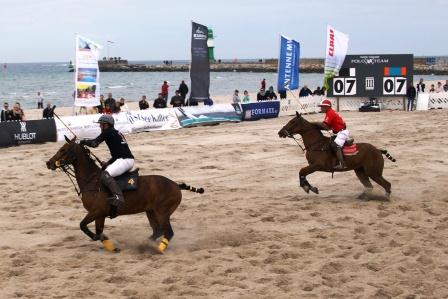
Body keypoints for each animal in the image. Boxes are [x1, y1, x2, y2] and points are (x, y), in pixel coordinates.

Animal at [45, 137, 203, 254]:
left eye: (63, 149)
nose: (48, 163)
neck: (91, 180)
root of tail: (176, 185)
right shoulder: (100, 215)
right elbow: (98, 231)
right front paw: (112, 247)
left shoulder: (97, 211)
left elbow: (83, 226)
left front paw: (98, 238)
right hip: (151, 211)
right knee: (157, 231)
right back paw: (144, 245)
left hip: (163, 212)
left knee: (168, 233)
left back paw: (157, 250)